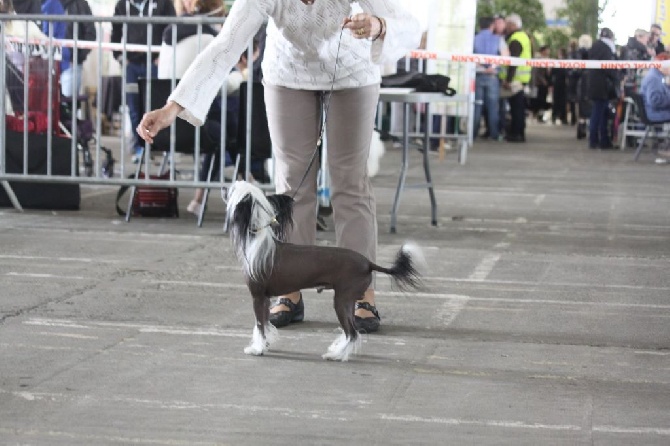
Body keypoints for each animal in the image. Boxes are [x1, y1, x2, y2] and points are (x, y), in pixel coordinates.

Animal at [226, 179, 426, 360]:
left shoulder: (258, 297)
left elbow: (259, 326)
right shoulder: (266, 298)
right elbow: (266, 325)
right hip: (347, 301)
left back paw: (337, 355)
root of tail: (368, 262)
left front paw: (257, 349)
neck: (258, 239)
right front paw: (265, 344)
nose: (226, 186)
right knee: (352, 332)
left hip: (341, 300)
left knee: (352, 333)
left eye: (234, 189)